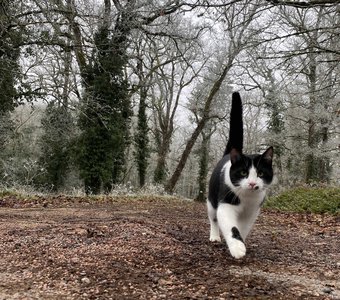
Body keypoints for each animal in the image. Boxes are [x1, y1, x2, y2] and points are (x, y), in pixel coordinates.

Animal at [207, 92, 274, 258]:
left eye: (260, 173)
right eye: (243, 172)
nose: (252, 183)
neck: (247, 198)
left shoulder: (252, 212)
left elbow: (243, 228)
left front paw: (241, 241)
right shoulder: (226, 204)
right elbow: (231, 226)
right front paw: (237, 248)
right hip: (212, 199)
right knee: (213, 218)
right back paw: (215, 236)